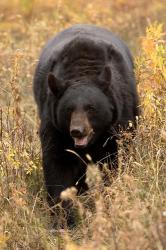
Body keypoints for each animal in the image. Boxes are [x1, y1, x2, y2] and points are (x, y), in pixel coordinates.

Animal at [33, 24, 139, 229]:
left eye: (91, 108)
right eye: (68, 109)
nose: (77, 131)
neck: (82, 72)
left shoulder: (118, 123)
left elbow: (115, 160)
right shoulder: (55, 126)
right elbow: (57, 164)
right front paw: (63, 221)